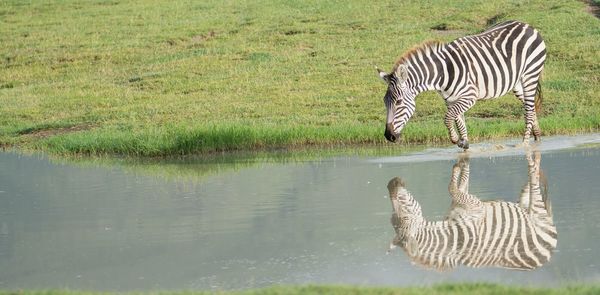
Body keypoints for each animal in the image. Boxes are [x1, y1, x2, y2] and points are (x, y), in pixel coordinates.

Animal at [378, 20, 548, 149]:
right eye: (385, 102)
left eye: (399, 102)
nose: (388, 136)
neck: (442, 72)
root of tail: (526, 25)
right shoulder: (451, 99)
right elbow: (458, 120)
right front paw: (464, 142)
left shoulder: (469, 97)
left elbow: (447, 118)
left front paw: (455, 139)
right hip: (517, 84)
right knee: (530, 106)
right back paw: (537, 136)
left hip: (530, 75)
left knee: (528, 109)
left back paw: (525, 143)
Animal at [386, 151, 556, 272]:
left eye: (400, 215)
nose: (391, 183)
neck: (452, 237)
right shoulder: (473, 205)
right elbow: (453, 188)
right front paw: (459, 165)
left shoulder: (466, 204)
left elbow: (457, 186)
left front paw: (461, 163)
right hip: (531, 206)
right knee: (532, 178)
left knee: (532, 175)